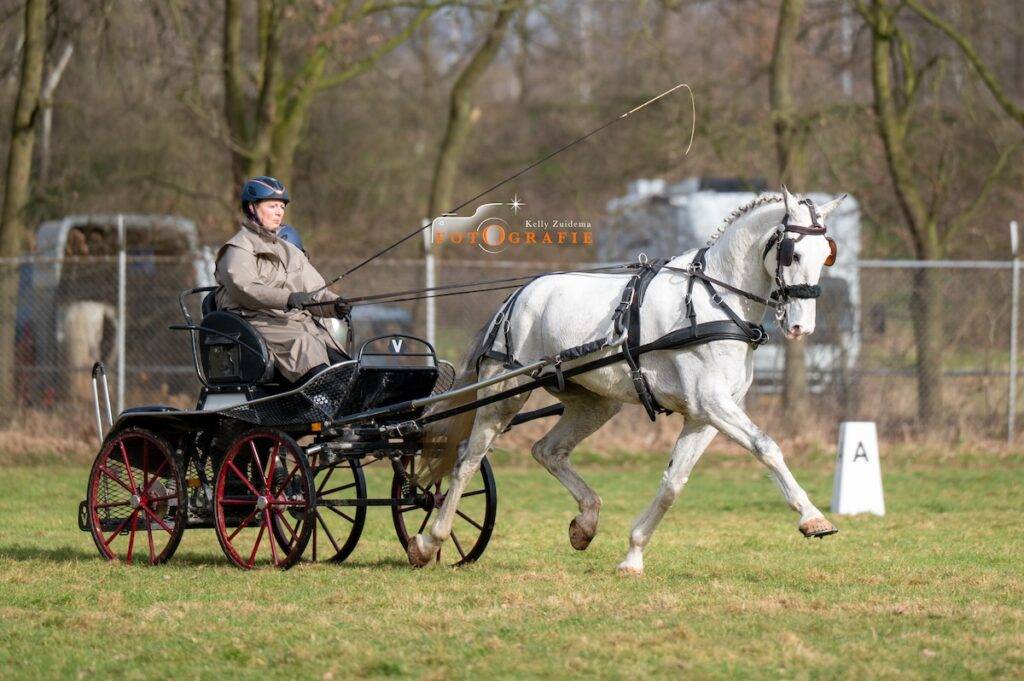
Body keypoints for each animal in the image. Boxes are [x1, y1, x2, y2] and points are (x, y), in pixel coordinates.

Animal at [410, 187, 846, 575]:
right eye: (793, 253)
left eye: (827, 254)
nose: (802, 327)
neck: (715, 300)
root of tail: (516, 296)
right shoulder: (712, 404)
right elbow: (767, 447)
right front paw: (813, 517)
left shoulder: (705, 415)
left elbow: (673, 483)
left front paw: (633, 556)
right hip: (501, 393)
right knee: (467, 459)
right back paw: (429, 541)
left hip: (597, 402)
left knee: (548, 450)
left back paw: (585, 524)